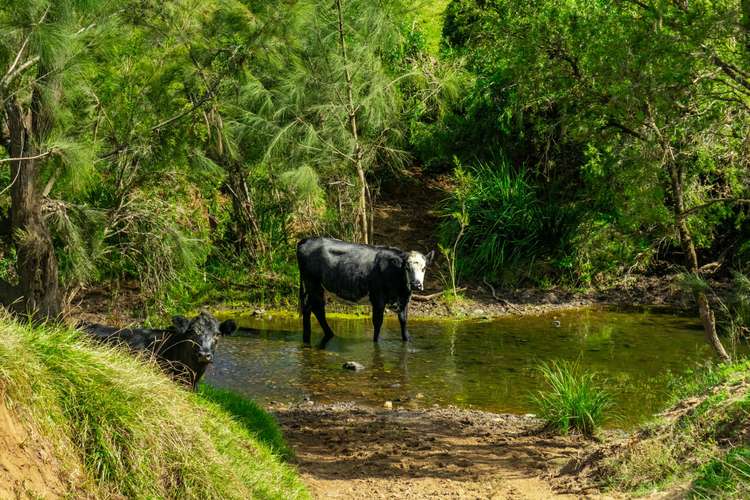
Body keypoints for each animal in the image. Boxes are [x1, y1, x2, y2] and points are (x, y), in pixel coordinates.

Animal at [296, 237, 434, 346]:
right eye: (407, 267)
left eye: (424, 268)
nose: (416, 284)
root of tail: (307, 239)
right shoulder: (378, 299)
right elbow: (378, 323)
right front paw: (376, 344)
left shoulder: (404, 300)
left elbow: (404, 322)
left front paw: (407, 340)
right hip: (312, 284)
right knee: (316, 309)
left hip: (315, 287)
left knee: (310, 309)